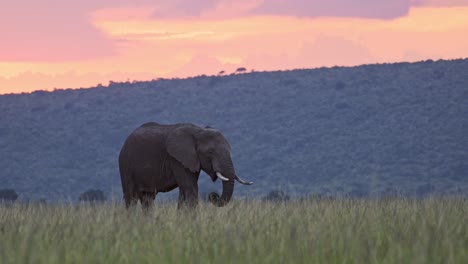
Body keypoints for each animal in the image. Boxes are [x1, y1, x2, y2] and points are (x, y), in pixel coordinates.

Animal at [119, 122, 254, 210]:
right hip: (125, 164)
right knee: (131, 197)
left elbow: (185, 191)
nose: (212, 196)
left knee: (148, 199)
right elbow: (190, 188)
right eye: (210, 152)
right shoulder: (176, 159)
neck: (198, 131)